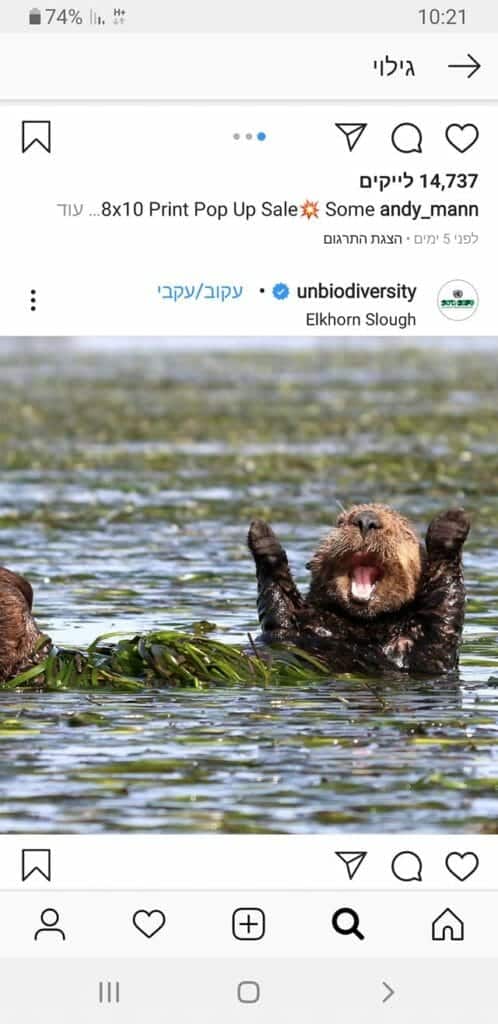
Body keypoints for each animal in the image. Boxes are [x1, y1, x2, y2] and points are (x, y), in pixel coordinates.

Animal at [249, 505, 471, 679]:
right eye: (340, 522)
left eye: (404, 531)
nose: (366, 520)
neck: (360, 626)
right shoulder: (289, 626)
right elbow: (279, 605)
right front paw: (262, 534)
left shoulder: (427, 649)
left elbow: (445, 608)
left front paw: (452, 521)